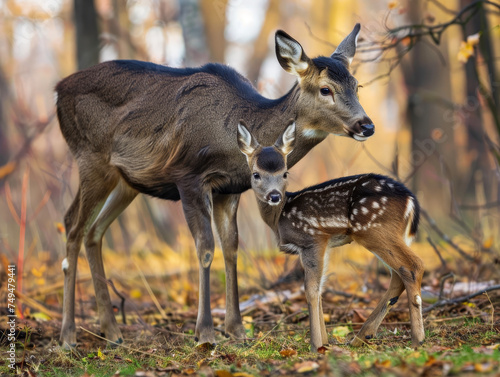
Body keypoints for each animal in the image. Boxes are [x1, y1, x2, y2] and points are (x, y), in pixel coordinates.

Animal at [56, 23, 374, 346]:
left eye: (357, 86)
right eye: (326, 89)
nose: (367, 125)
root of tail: (59, 90)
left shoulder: (229, 189)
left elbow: (231, 248)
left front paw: (236, 329)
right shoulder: (188, 176)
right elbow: (206, 247)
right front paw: (206, 331)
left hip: (126, 180)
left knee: (94, 231)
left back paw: (112, 331)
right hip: (90, 157)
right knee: (72, 225)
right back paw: (68, 335)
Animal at [236, 121, 424, 352]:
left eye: (285, 173)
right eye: (256, 174)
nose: (274, 196)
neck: (279, 217)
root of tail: (410, 200)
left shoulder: (312, 238)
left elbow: (311, 289)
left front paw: (315, 345)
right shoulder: (323, 244)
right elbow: (320, 289)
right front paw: (324, 342)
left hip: (375, 230)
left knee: (413, 266)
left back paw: (417, 339)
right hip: (394, 235)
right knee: (398, 275)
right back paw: (361, 336)